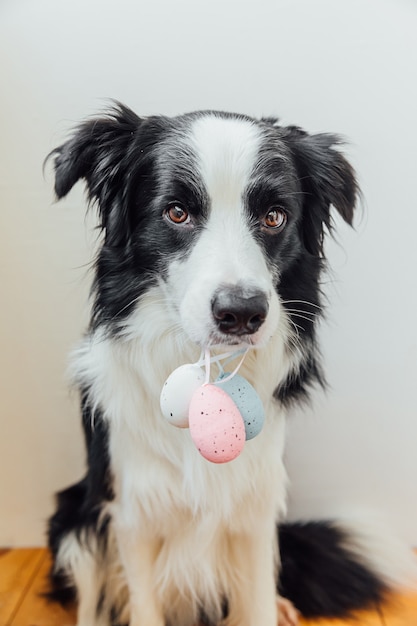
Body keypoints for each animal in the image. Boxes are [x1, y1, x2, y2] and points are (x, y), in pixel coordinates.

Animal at [46, 103, 412, 624]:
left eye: (275, 217)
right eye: (177, 212)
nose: (241, 312)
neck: (207, 369)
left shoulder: (255, 505)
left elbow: (255, 600)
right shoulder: (134, 511)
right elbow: (141, 603)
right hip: (72, 517)